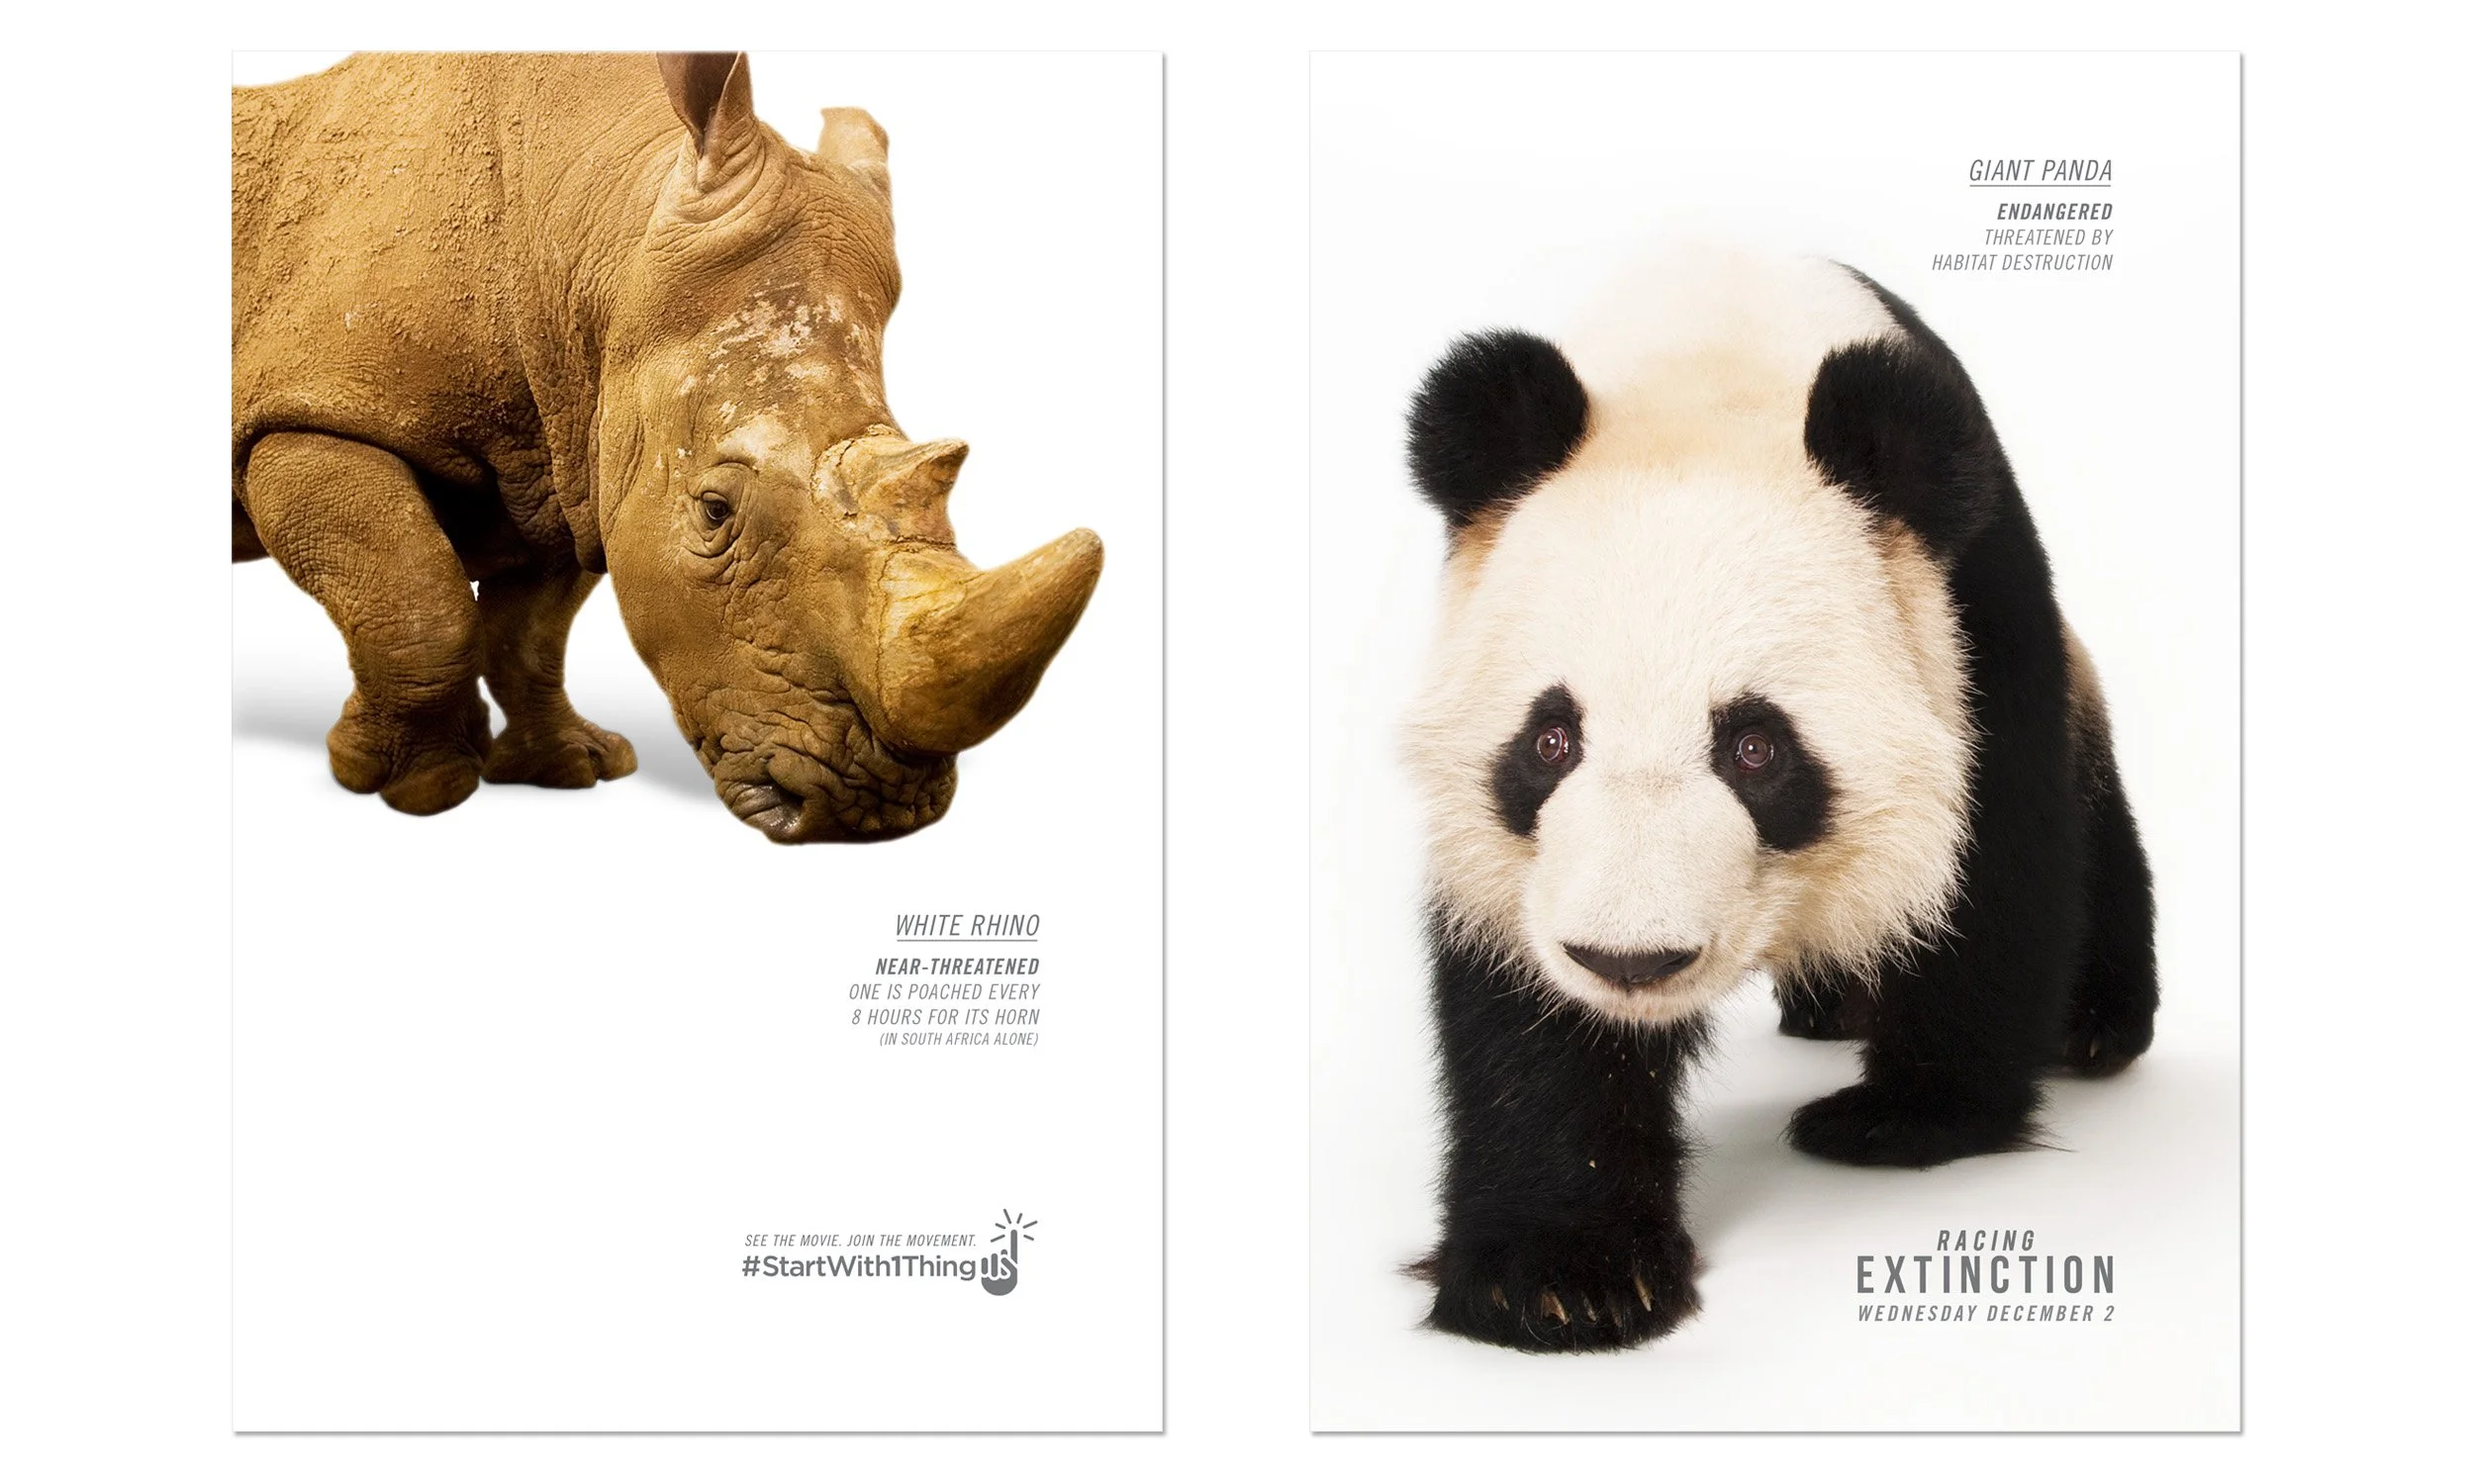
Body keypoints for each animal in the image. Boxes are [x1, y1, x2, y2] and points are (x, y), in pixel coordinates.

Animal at [1399, 247, 2158, 1353]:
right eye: (1550, 740)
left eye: (1755, 749)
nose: (1631, 961)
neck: (1711, 370)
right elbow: (1524, 1001)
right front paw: (1557, 1275)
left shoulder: (1967, 613)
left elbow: (1992, 866)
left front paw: (1911, 1114)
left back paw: (2093, 1021)